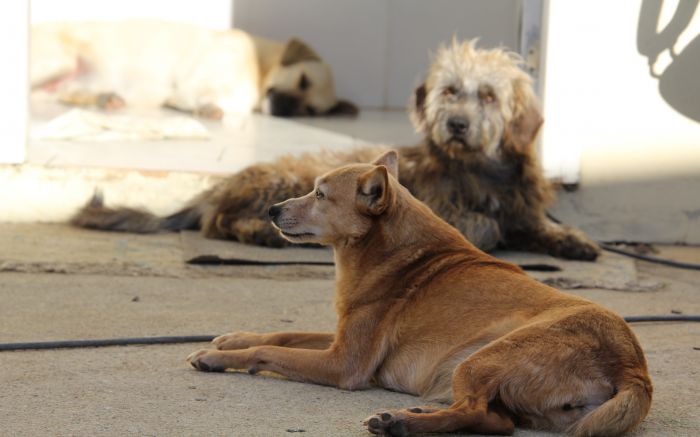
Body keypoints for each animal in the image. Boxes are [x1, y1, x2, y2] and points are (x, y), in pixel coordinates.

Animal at [30, 20, 358, 117]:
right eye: (302, 80)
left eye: (310, 111)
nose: (285, 109)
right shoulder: (199, 80)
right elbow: (192, 95)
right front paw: (195, 106)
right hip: (58, 62)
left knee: (67, 93)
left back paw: (105, 99)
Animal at [185, 151, 652, 436]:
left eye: (319, 194)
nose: (271, 210)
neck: (392, 250)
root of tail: (632, 365)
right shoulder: (341, 339)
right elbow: (282, 334)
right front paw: (232, 339)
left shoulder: (344, 363)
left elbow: (269, 352)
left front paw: (219, 357)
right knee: (496, 422)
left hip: (481, 357)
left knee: (476, 411)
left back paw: (400, 422)